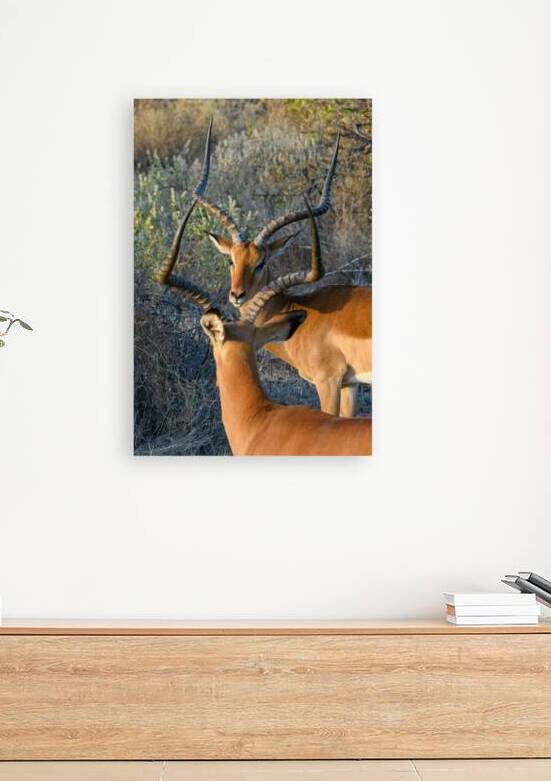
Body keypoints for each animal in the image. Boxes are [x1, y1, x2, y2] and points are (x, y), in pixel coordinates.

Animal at [166, 120, 372, 417]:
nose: (236, 295)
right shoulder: (350, 384)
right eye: (231, 260)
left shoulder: (328, 381)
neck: (307, 312)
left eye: (261, 262)